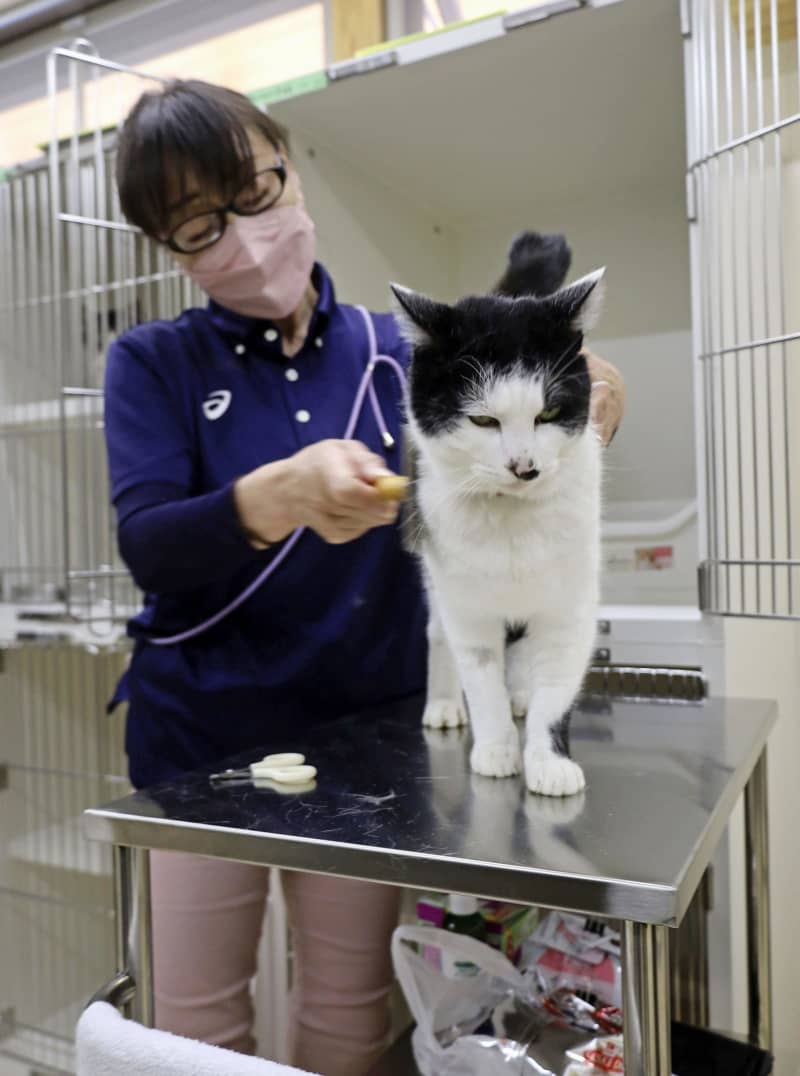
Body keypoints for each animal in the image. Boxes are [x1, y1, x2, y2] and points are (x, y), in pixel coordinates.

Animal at [391, 233, 602, 800]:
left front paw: (548, 759)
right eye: (483, 420)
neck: (511, 516)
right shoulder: (465, 602)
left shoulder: (570, 603)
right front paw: (496, 750)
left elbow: (557, 681)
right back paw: (444, 704)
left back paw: (522, 695)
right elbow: (480, 673)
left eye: (549, 413)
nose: (524, 467)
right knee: (439, 635)